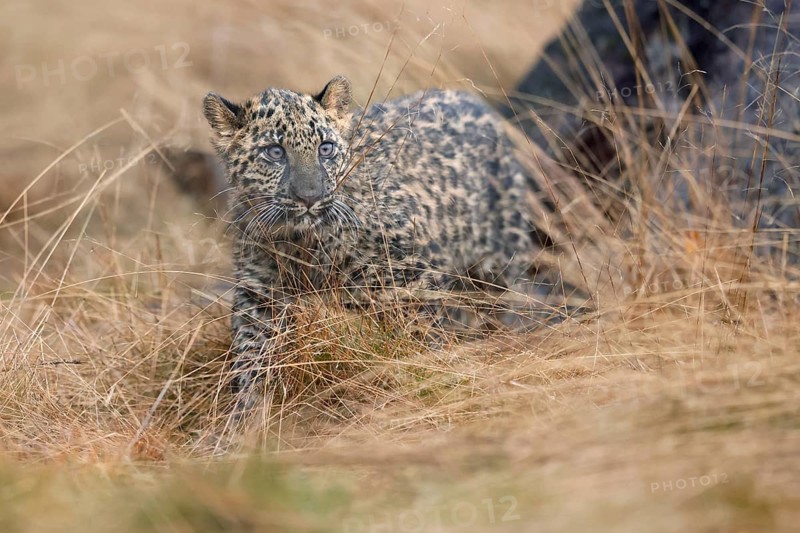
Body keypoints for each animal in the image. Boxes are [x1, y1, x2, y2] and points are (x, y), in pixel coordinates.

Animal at [202, 75, 555, 418]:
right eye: (275, 152)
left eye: (326, 149)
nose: (310, 197)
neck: (301, 242)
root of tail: (472, 99)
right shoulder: (260, 295)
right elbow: (251, 359)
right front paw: (244, 421)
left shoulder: (413, 278)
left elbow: (421, 340)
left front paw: (426, 383)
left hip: (498, 264)